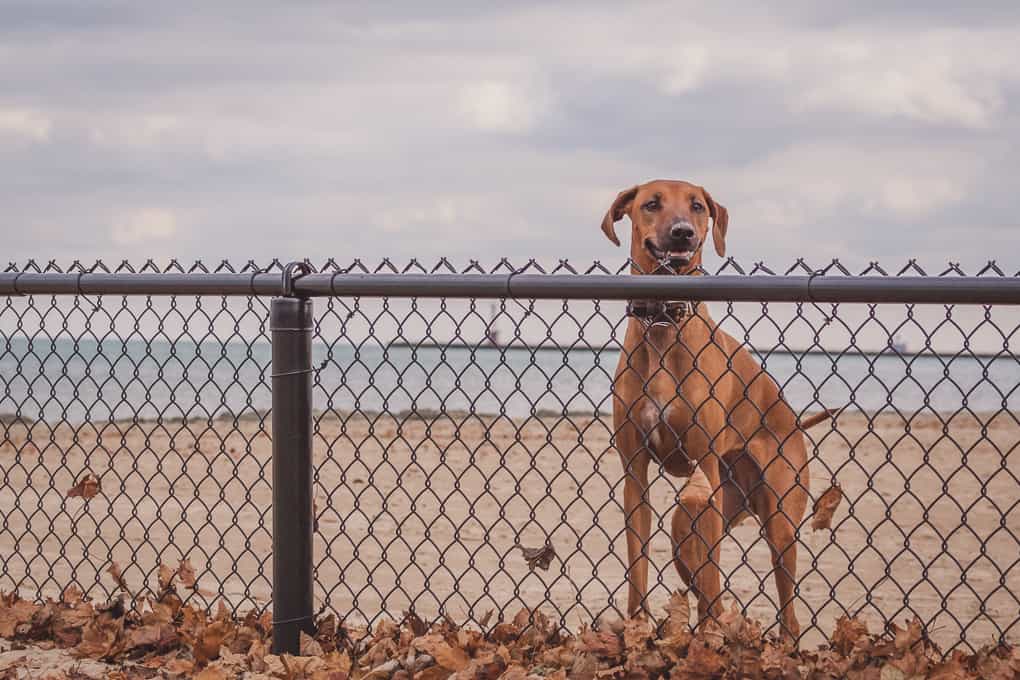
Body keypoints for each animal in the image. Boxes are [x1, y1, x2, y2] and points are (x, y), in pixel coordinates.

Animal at [603, 178, 811, 640]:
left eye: (697, 206)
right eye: (652, 203)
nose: (683, 232)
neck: (664, 321)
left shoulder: (707, 472)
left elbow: (715, 575)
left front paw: (712, 635)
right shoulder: (634, 473)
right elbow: (637, 565)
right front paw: (637, 629)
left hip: (778, 518)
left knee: (786, 606)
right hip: (686, 524)